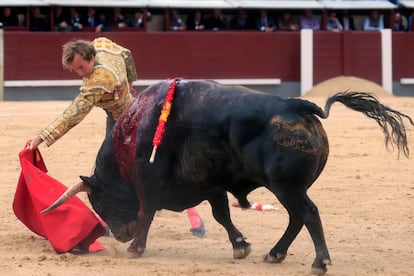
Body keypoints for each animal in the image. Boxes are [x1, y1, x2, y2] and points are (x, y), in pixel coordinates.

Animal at [43, 78, 412, 274]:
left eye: (99, 201)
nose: (119, 236)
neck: (132, 136)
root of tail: (298, 106)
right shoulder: (210, 184)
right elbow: (223, 215)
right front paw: (241, 246)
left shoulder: (149, 184)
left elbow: (147, 212)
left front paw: (136, 248)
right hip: (286, 188)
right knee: (296, 217)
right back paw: (275, 253)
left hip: (286, 186)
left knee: (307, 213)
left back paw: (319, 262)